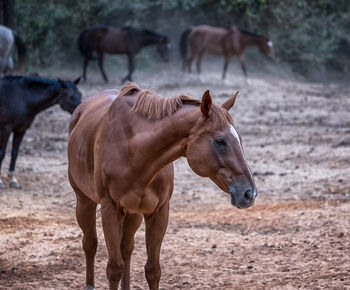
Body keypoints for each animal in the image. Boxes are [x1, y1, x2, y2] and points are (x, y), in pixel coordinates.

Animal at [67, 82, 258, 288]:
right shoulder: (110, 209)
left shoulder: (159, 211)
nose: (250, 193)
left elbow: (153, 270)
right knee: (90, 243)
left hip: (133, 213)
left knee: (126, 248)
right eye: (220, 141)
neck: (135, 152)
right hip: (85, 202)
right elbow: (114, 269)